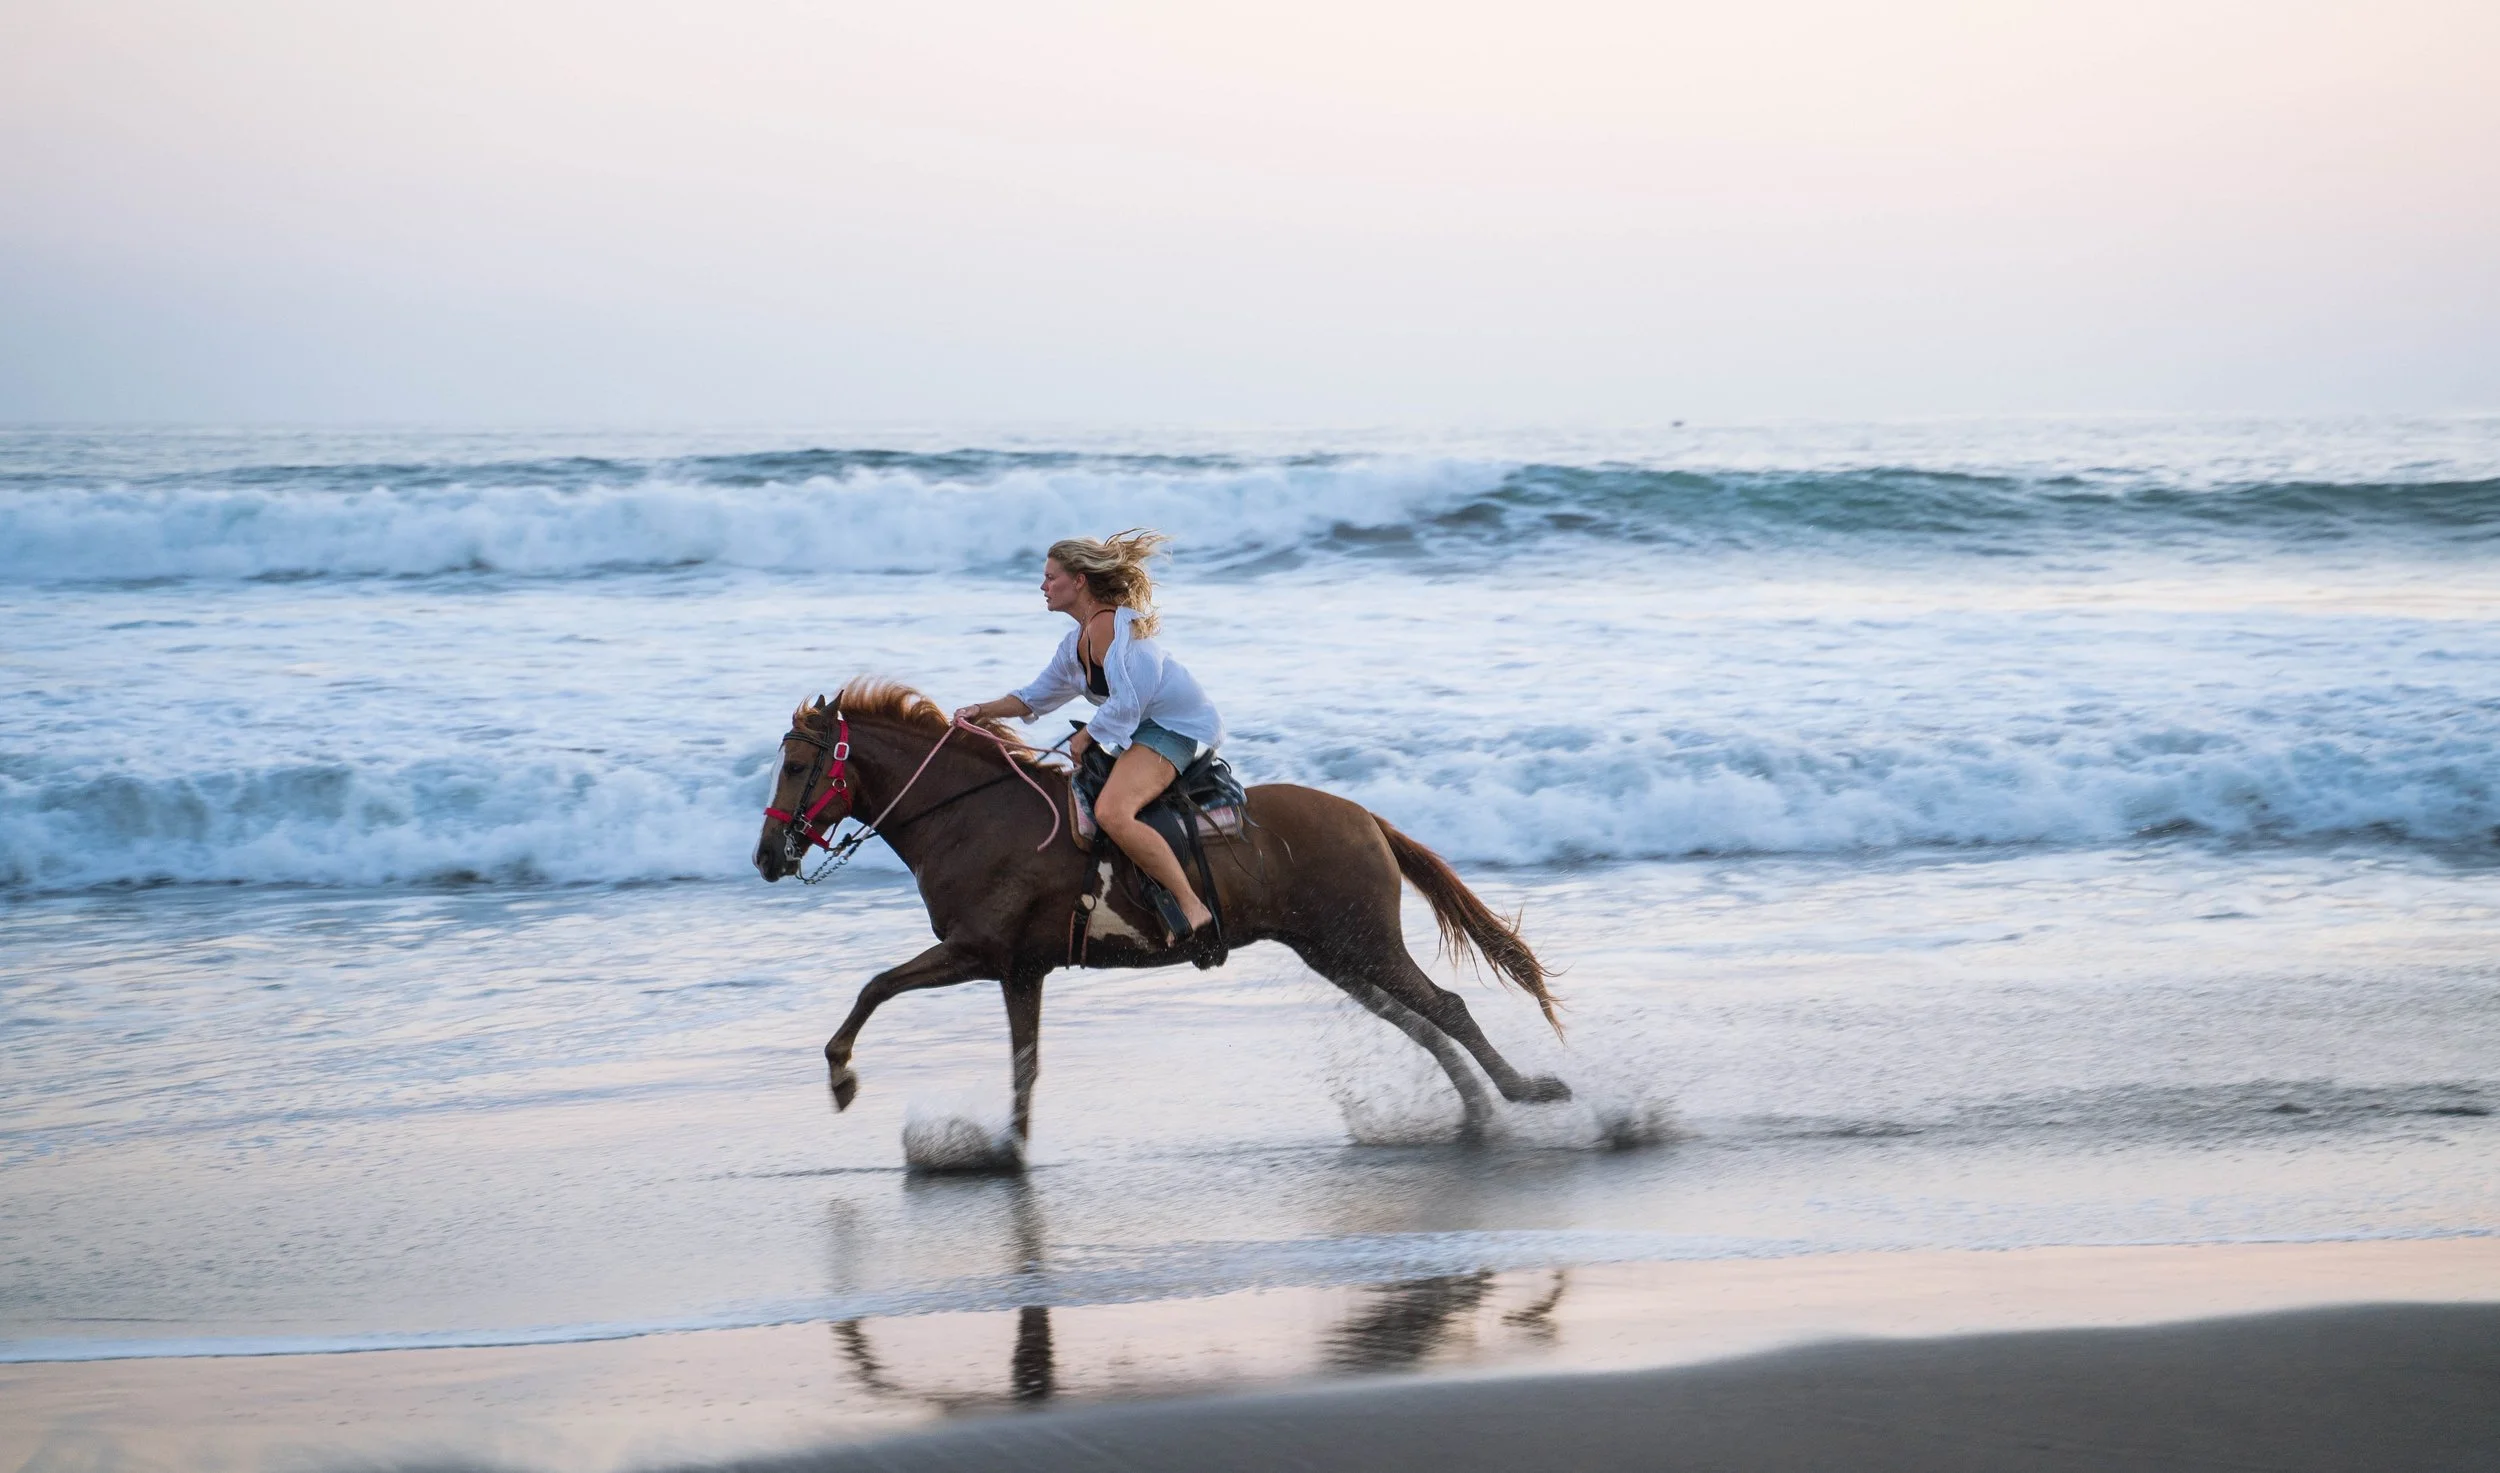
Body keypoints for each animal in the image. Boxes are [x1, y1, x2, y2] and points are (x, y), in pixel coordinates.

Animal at [753, 679, 1570, 1149]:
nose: (766, 855)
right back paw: (1477, 1108)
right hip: (1334, 952)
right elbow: (1024, 1067)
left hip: (1365, 943)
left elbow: (876, 986)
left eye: (795, 765)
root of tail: (1365, 816)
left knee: (1446, 1006)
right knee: (1419, 1021)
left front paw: (841, 1075)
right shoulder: (1020, 971)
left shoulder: (975, 952)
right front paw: (1009, 1147)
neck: (973, 814)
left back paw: (1526, 1092)